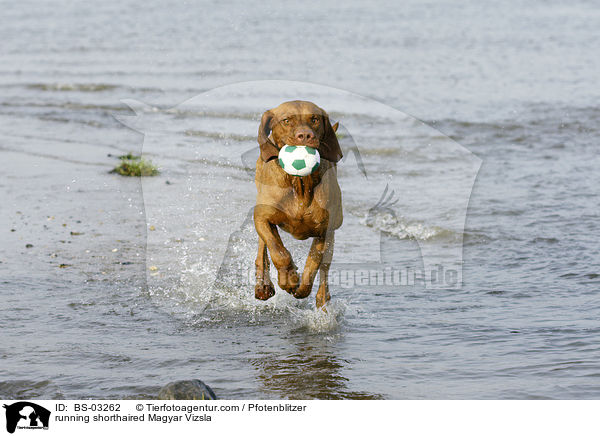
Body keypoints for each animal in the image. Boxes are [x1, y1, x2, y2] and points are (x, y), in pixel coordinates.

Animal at [253, 100, 342, 308]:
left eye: (315, 119)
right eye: (286, 120)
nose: (305, 135)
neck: (300, 183)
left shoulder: (324, 231)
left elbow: (313, 264)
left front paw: (302, 287)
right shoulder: (262, 218)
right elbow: (278, 251)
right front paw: (289, 278)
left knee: (325, 270)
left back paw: (322, 298)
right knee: (262, 248)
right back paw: (263, 285)